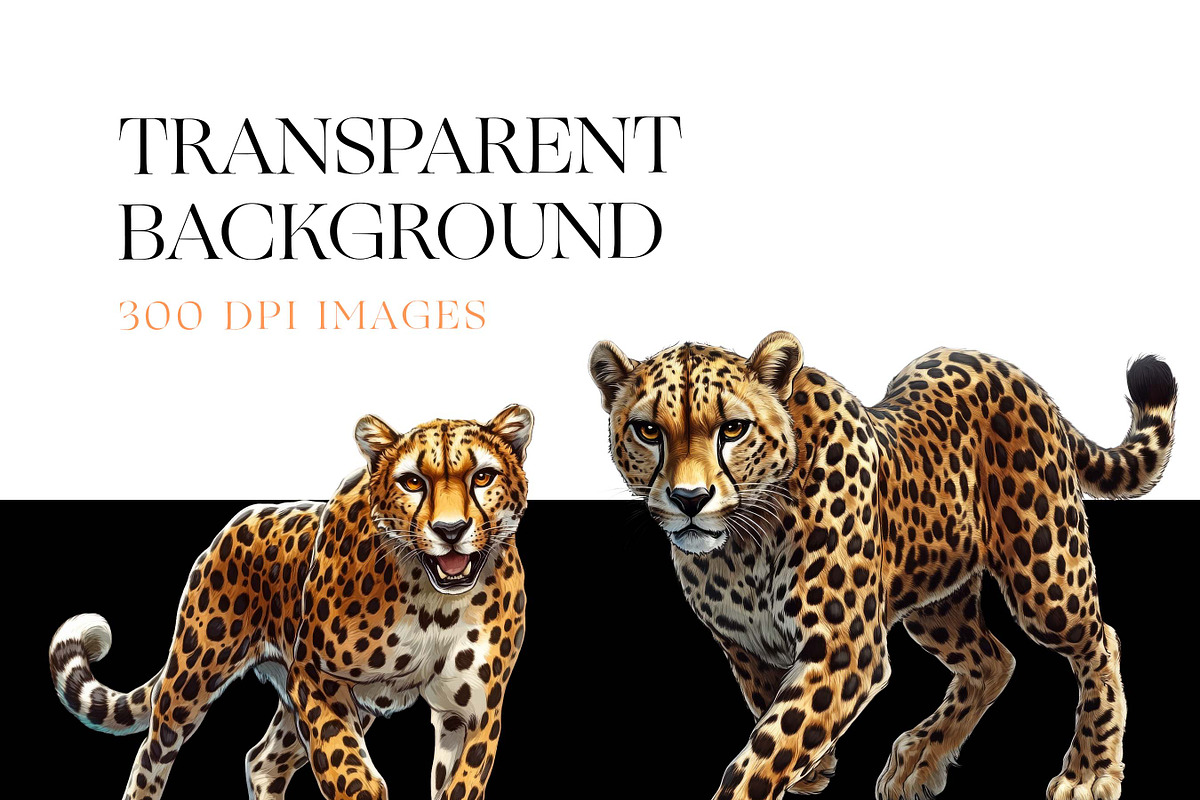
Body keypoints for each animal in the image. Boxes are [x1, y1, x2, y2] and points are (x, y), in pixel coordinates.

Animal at [49, 405, 534, 800]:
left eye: (482, 476)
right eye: (412, 482)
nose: (450, 530)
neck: (435, 603)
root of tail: (234, 524)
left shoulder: (475, 710)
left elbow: (462, 782)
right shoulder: (313, 673)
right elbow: (344, 764)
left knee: (262, 761)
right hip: (193, 676)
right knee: (152, 754)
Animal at [589, 331, 1176, 800]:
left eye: (733, 429)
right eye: (648, 431)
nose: (689, 498)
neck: (739, 548)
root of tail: (1014, 370)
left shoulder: (847, 648)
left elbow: (767, 750)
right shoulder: (743, 647)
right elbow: (770, 715)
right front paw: (814, 769)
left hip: (1046, 575)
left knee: (1100, 641)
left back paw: (1090, 771)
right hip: (936, 597)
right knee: (993, 659)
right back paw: (919, 757)